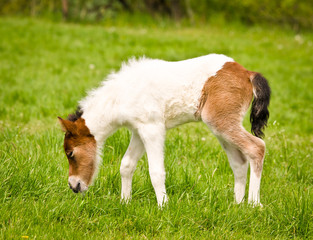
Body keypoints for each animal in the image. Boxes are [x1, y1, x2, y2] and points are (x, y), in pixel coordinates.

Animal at [59, 54, 270, 206]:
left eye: (70, 153)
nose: (74, 185)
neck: (121, 95)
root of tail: (247, 73)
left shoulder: (153, 128)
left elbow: (156, 170)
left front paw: (163, 206)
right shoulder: (139, 130)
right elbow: (126, 165)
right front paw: (125, 202)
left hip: (220, 122)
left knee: (257, 147)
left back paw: (253, 204)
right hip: (221, 128)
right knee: (239, 162)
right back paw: (237, 204)